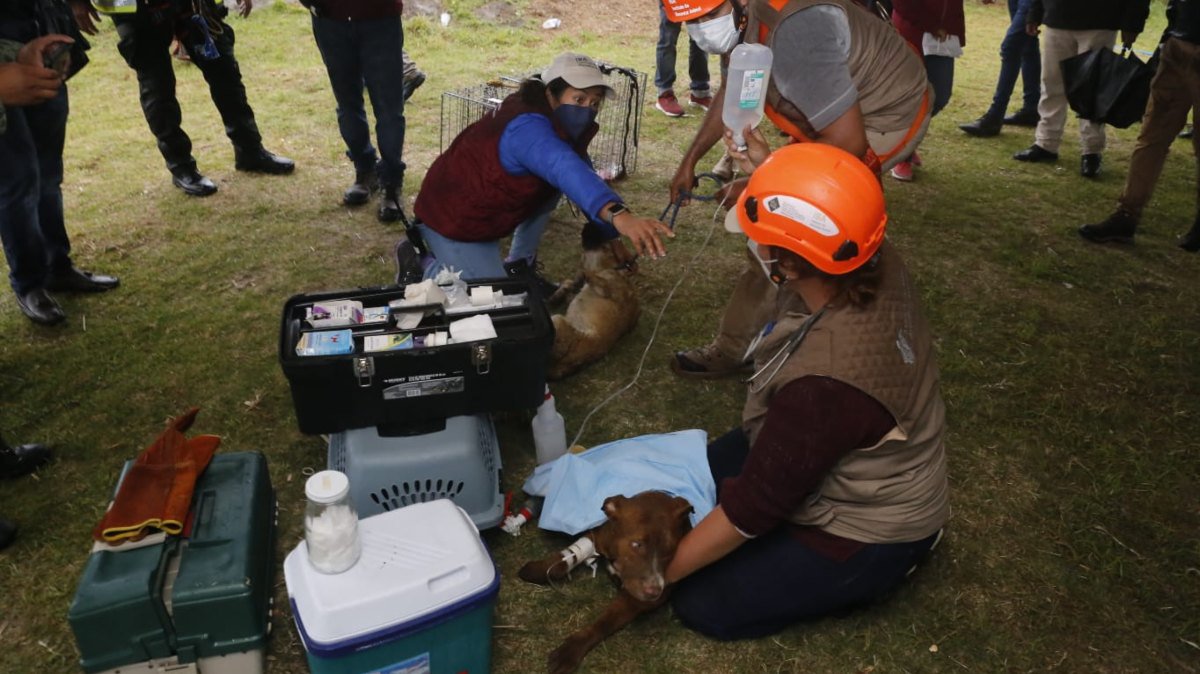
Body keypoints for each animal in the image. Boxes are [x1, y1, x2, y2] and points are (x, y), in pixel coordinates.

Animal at [516, 486, 696, 671]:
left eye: (670, 551)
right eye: (636, 544)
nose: (654, 591)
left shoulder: (635, 600)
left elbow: (604, 622)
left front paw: (572, 649)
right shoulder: (598, 535)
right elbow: (563, 560)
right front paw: (539, 569)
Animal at [547, 242, 638, 381]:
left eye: (605, 248)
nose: (588, 243)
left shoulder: (607, 286)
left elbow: (590, 276)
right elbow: (570, 284)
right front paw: (560, 293)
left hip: (558, 320)